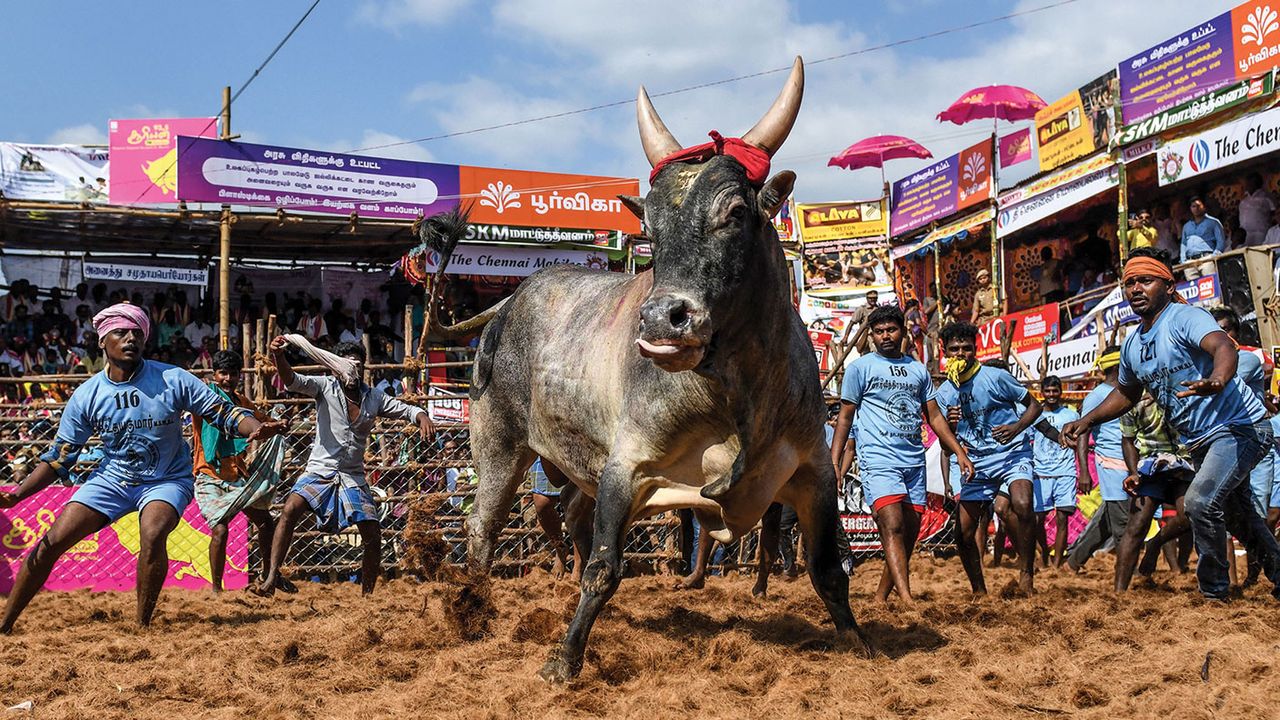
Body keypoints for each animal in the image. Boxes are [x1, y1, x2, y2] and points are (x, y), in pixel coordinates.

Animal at [430, 57, 870, 676]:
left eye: (736, 211)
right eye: (653, 233)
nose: (663, 318)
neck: (737, 398)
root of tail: (512, 299)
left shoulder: (814, 472)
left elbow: (829, 569)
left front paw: (858, 643)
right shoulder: (626, 467)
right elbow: (604, 570)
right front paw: (564, 662)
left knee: (571, 517)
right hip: (498, 444)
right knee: (482, 527)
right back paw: (474, 604)